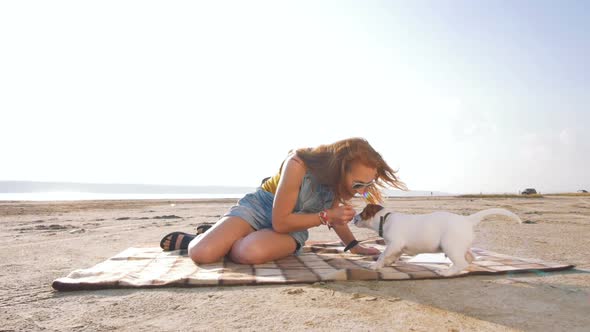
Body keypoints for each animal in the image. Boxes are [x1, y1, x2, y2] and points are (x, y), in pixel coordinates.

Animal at [354, 204, 524, 276]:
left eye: (362, 213)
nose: (354, 217)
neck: (385, 219)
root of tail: (466, 220)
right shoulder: (397, 247)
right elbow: (391, 256)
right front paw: (386, 263)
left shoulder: (395, 244)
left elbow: (383, 254)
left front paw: (375, 265)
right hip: (461, 246)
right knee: (470, 257)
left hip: (450, 246)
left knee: (461, 262)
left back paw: (445, 272)